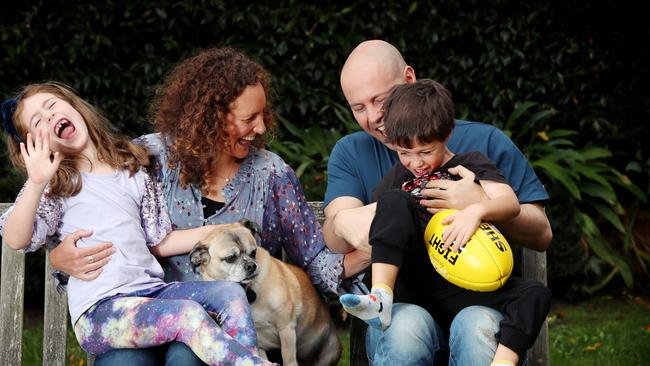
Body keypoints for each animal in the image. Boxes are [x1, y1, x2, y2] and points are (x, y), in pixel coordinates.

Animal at [187, 219, 340, 364]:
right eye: (230, 258)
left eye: (253, 253)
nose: (251, 265)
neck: (248, 290)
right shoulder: (259, 344)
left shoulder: (286, 328)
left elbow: (288, 359)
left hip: (330, 353)